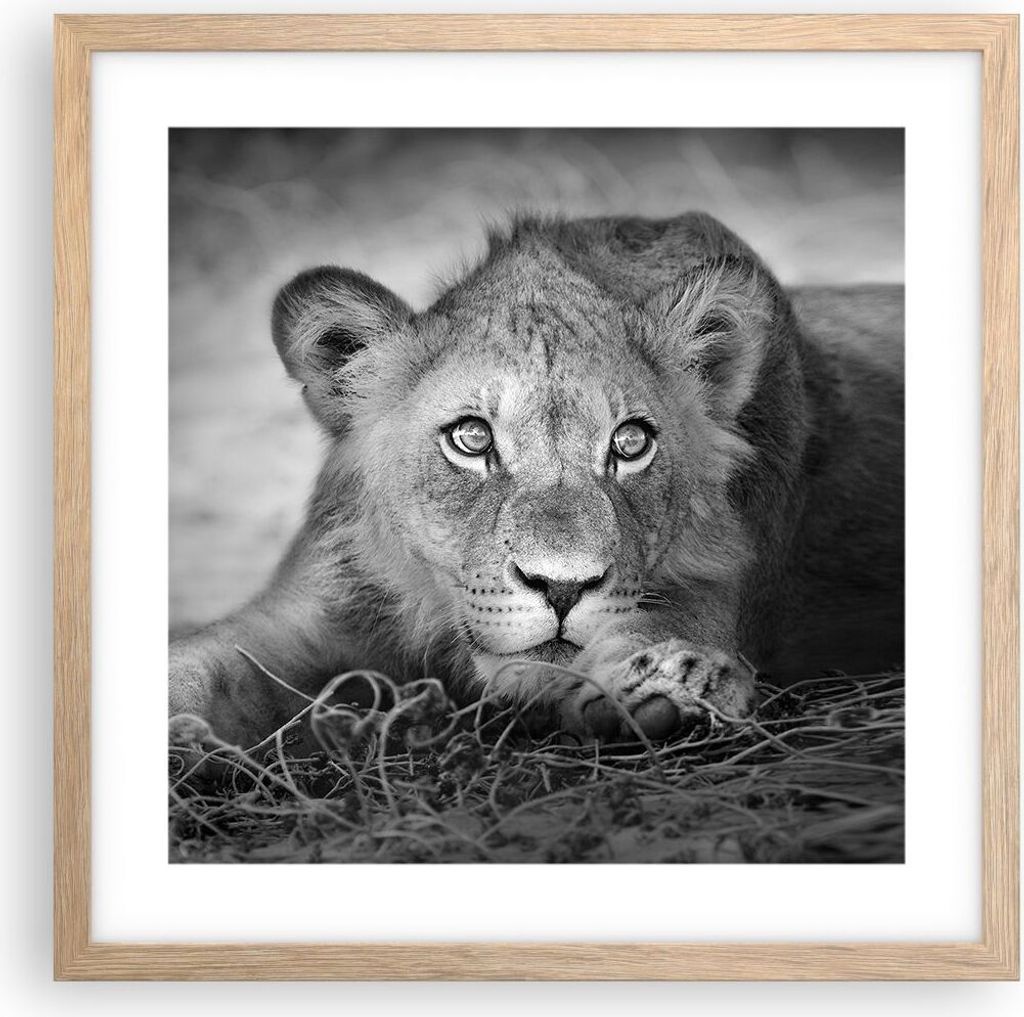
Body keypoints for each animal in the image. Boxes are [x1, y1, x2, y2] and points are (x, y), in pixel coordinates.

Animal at [169, 211, 903, 747]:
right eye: (470, 438)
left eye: (630, 443)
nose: (562, 587)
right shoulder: (314, 606)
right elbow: (194, 667)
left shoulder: (721, 585)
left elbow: (665, 627)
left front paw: (672, 684)